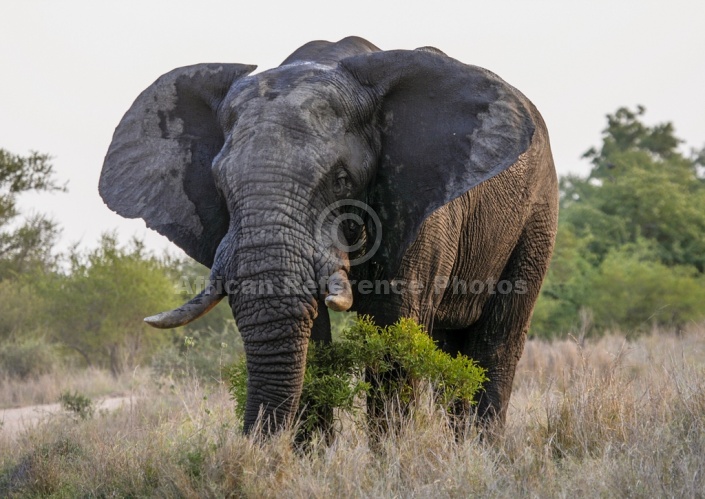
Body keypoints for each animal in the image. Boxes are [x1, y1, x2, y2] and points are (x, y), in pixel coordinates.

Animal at [100, 36, 556, 434]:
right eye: (219, 184)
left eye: (341, 181)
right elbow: (314, 338)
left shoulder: (420, 210)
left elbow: (393, 332)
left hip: (538, 211)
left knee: (497, 341)